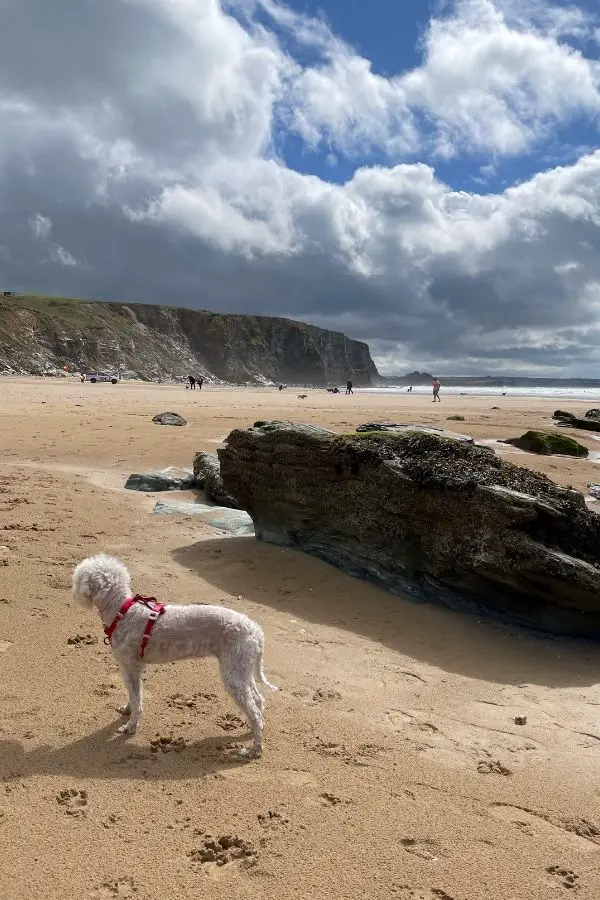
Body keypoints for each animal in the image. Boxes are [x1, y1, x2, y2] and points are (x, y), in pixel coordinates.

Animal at [72, 552, 278, 756]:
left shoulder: (130, 666)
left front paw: (130, 726)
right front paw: (127, 711)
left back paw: (255, 749)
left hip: (234, 672)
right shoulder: (131, 669)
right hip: (241, 667)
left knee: (254, 710)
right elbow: (132, 694)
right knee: (258, 700)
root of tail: (256, 630)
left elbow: (137, 698)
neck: (122, 612)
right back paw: (255, 729)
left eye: (77, 577)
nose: (72, 593)